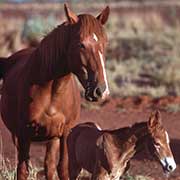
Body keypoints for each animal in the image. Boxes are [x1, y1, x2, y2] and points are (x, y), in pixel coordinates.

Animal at [0, 4, 109, 180]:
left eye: (105, 43)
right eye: (81, 44)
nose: (100, 91)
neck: (51, 92)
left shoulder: (63, 133)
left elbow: (62, 168)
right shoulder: (24, 134)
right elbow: (22, 170)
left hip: (52, 139)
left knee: (49, 166)